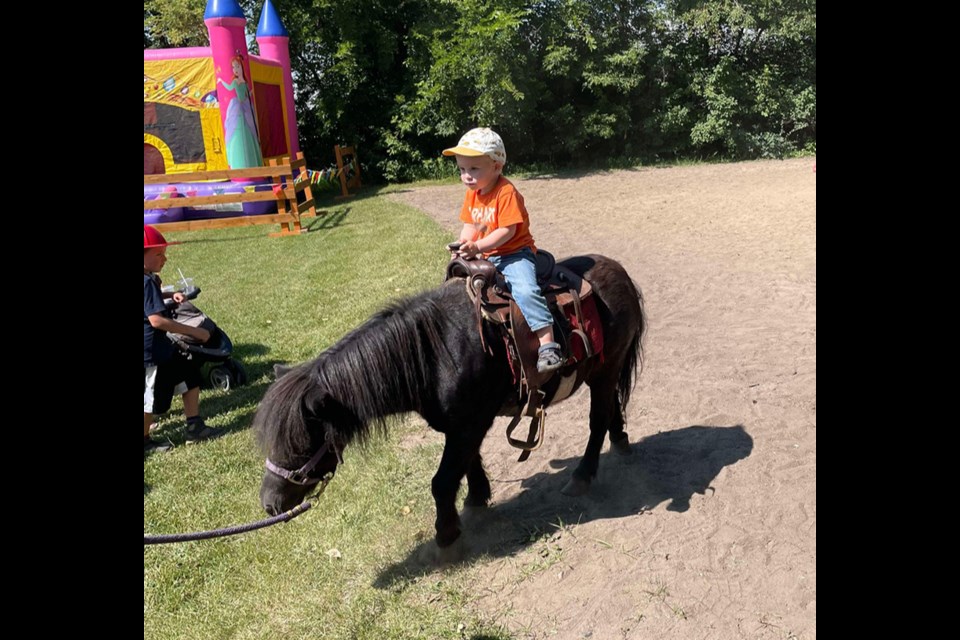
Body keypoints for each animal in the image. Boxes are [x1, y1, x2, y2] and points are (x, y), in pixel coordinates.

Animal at [255, 254, 644, 556]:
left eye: (300, 441)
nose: (269, 503)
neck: (433, 353)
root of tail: (621, 272)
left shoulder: (467, 427)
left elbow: (442, 481)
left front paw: (447, 534)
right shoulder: (463, 427)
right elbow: (468, 464)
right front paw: (477, 499)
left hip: (605, 371)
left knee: (597, 420)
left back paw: (582, 475)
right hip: (604, 374)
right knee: (611, 409)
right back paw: (620, 440)